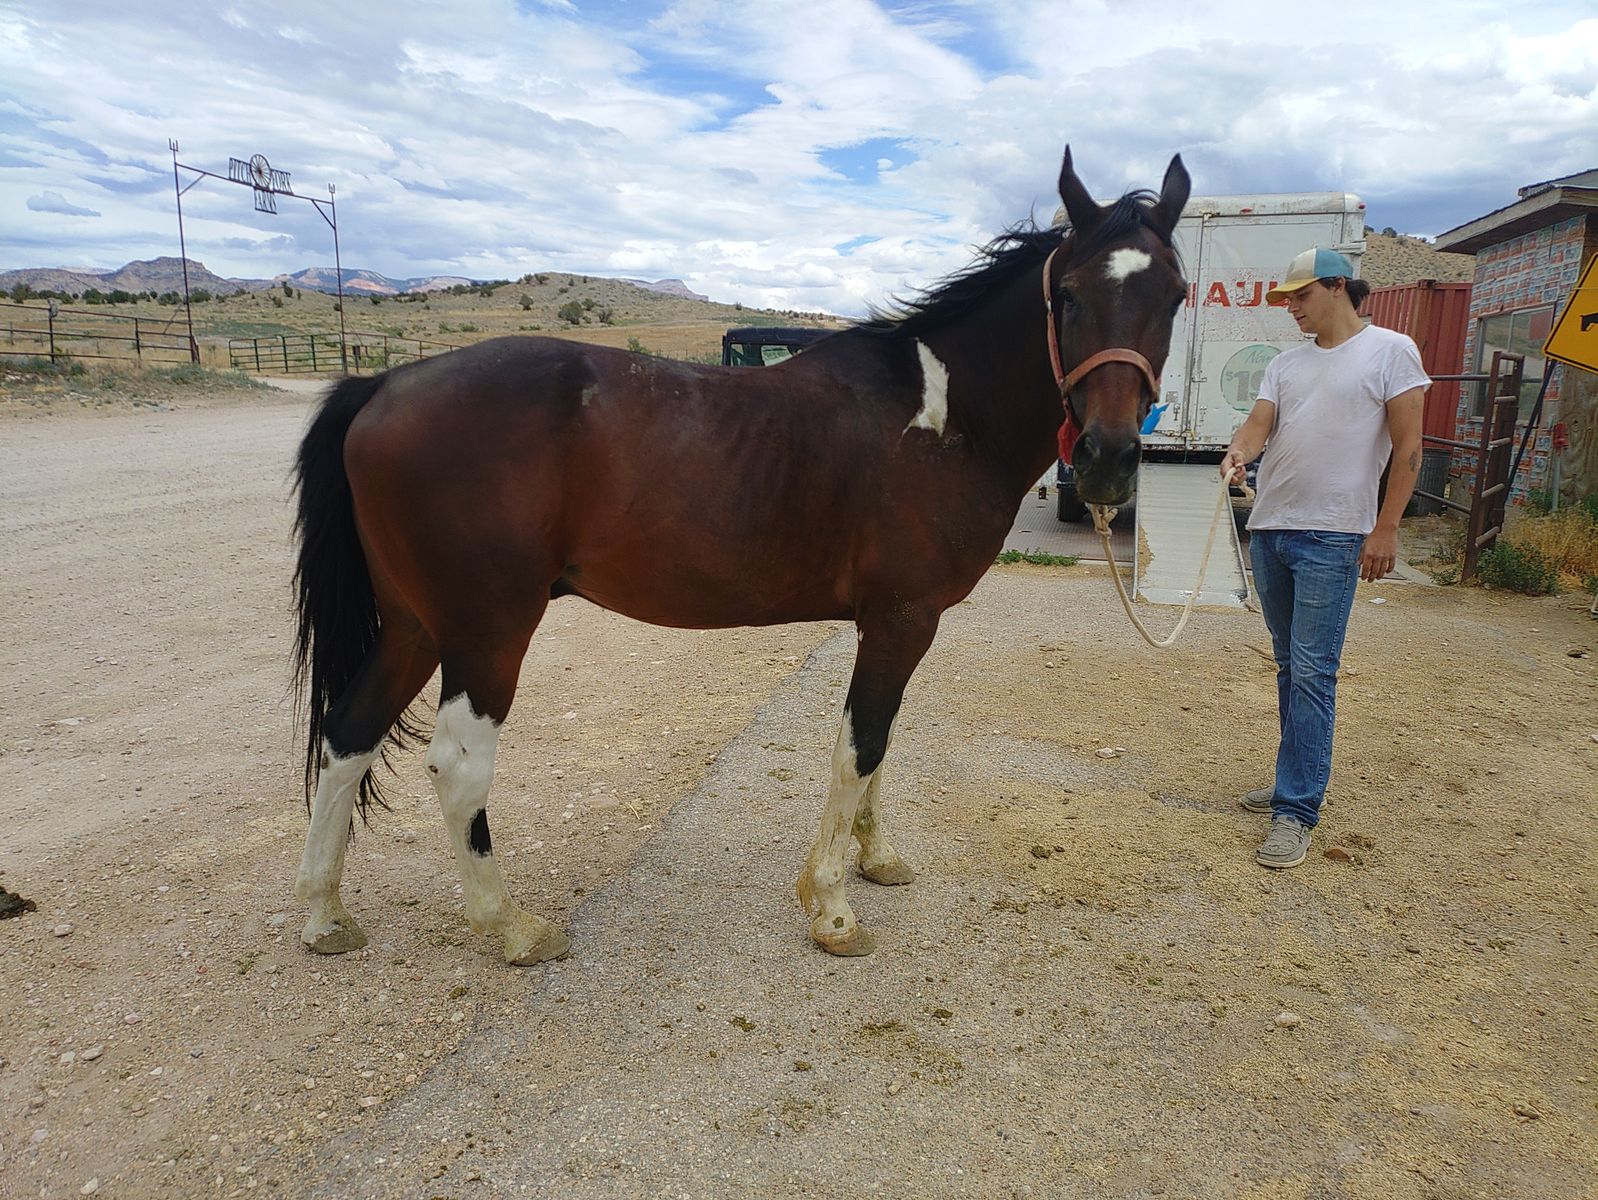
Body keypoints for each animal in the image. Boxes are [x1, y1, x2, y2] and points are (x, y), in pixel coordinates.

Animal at [291, 146, 1190, 964]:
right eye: (1068, 295)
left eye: (1175, 297)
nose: (1109, 459)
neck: (944, 416)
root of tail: (382, 387)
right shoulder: (901, 619)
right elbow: (862, 744)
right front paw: (831, 908)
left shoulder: (898, 625)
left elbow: (882, 742)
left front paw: (877, 859)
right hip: (486, 634)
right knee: (457, 768)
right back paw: (510, 926)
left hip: (415, 626)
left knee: (348, 733)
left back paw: (325, 914)